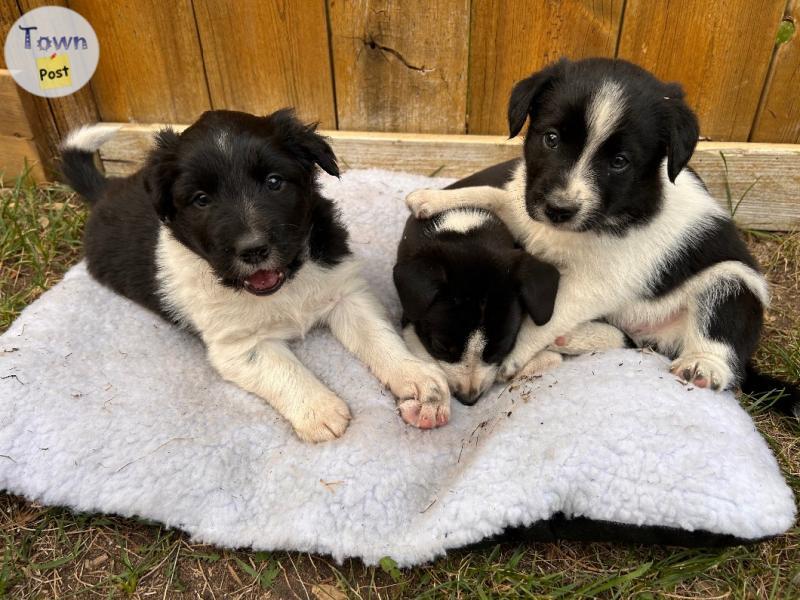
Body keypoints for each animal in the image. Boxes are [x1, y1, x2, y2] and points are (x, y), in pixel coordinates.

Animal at [60, 110, 454, 442]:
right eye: (201, 199)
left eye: (274, 182)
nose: (253, 250)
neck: (286, 282)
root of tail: (106, 190)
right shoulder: (237, 346)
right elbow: (285, 370)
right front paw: (319, 410)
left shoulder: (346, 292)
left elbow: (379, 337)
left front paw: (416, 376)